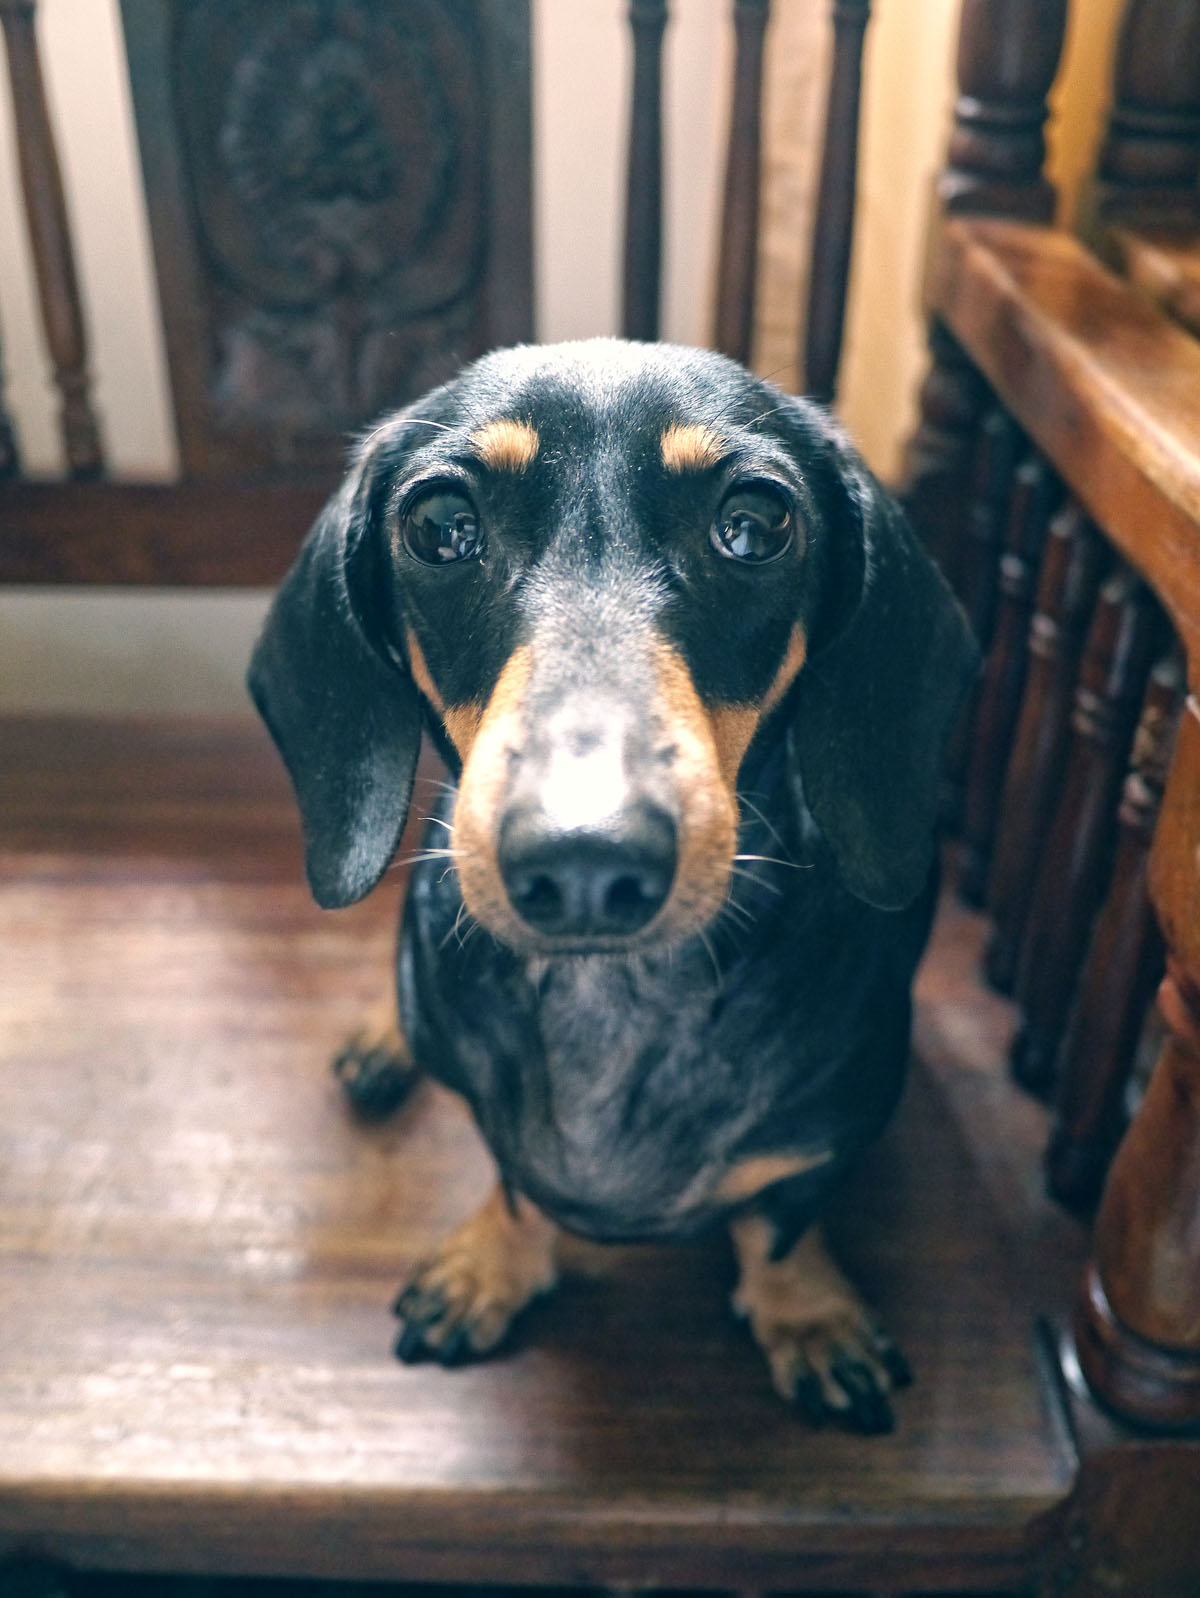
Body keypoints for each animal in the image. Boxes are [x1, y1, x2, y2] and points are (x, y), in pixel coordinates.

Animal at [250, 340, 977, 1438]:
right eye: (440, 526)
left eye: (757, 523)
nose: (586, 861)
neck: (616, 1001)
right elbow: (515, 1183)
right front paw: (492, 1266)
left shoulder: (831, 1135)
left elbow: (778, 1221)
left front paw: (806, 1311)